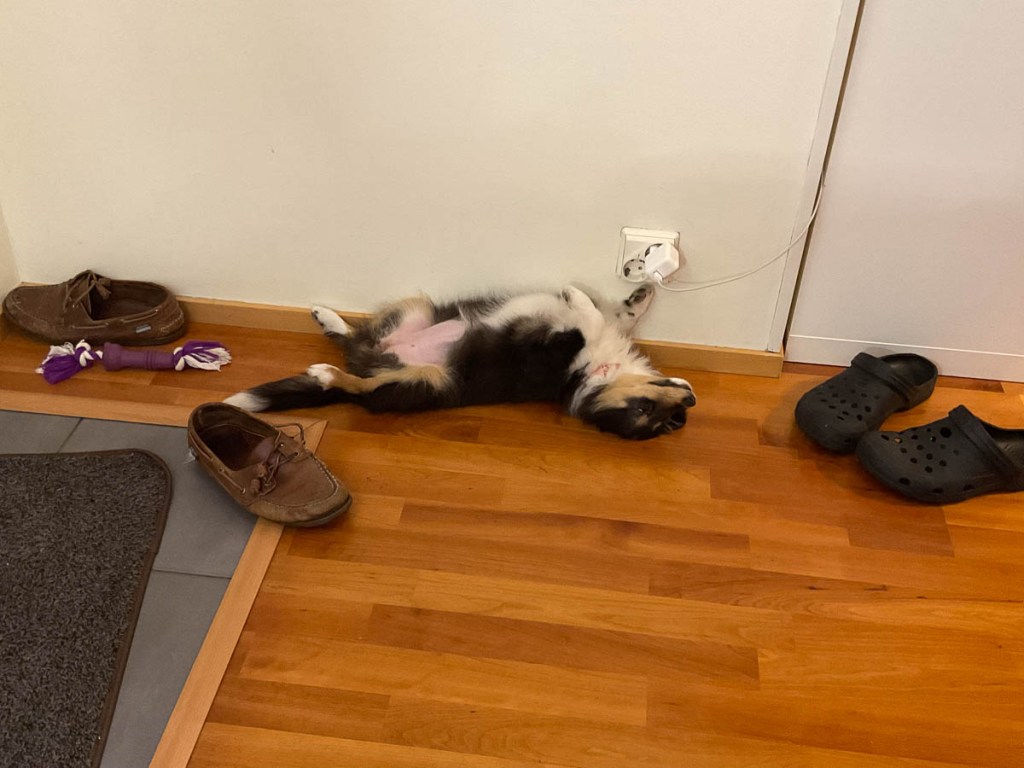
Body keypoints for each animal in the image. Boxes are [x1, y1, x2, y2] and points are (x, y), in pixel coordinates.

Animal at [224, 284, 696, 440]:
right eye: (647, 409)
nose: (690, 401)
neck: (590, 374)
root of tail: (376, 357)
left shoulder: (553, 347)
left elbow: (590, 320)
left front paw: (576, 295)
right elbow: (616, 314)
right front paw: (642, 289)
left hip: (427, 381)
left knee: (358, 385)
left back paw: (327, 372)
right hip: (415, 308)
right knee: (353, 337)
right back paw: (327, 317)